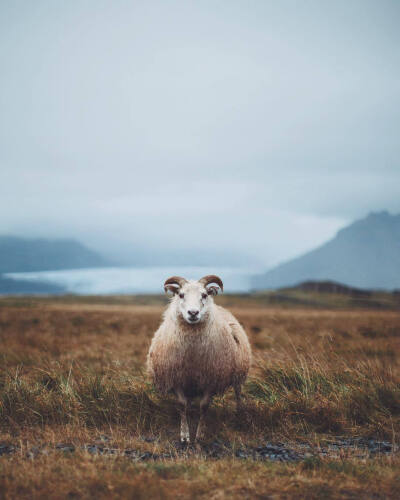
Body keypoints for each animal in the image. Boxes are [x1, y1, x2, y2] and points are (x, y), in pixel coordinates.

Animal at [147, 276, 250, 444]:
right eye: (181, 294)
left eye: (204, 295)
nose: (193, 312)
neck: (192, 356)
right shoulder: (177, 378)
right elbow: (182, 405)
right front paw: (184, 435)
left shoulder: (211, 380)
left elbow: (204, 406)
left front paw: (199, 434)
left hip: (239, 374)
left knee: (238, 393)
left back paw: (240, 414)